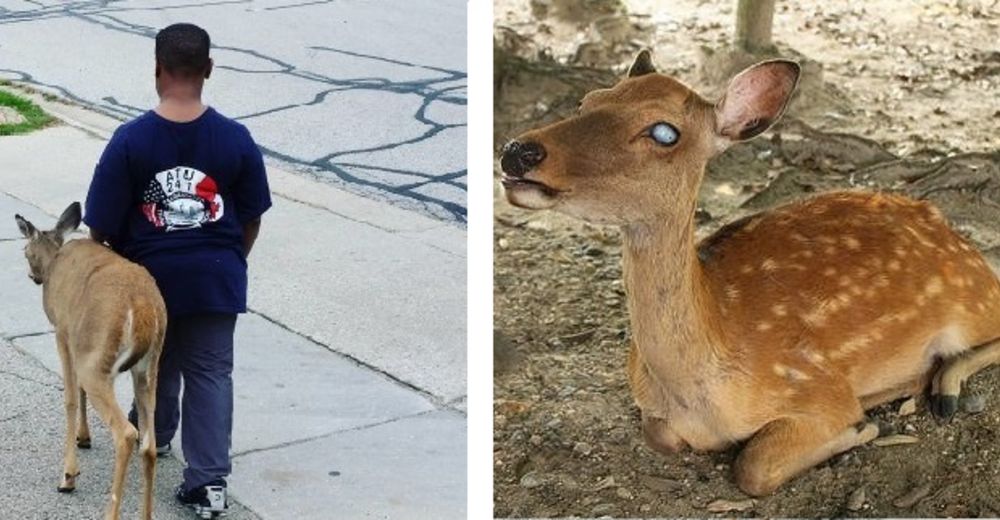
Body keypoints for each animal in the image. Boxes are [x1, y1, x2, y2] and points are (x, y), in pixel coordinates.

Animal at [14, 203, 166, 520]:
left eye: (24, 250)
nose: (33, 276)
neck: (54, 260)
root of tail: (144, 309)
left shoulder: (62, 331)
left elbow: (70, 397)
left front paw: (68, 475)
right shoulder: (78, 343)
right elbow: (78, 394)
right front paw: (84, 437)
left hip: (97, 362)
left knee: (126, 433)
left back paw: (108, 512)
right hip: (148, 368)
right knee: (148, 444)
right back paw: (146, 514)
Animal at [498, 51, 1000, 496]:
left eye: (664, 131)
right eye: (588, 101)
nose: (518, 151)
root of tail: (945, 225)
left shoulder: (818, 389)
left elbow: (753, 466)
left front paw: (861, 429)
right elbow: (660, 436)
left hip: (972, 302)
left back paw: (938, 391)